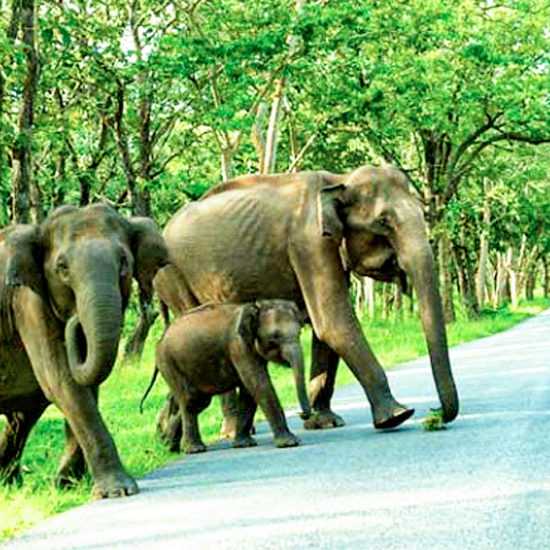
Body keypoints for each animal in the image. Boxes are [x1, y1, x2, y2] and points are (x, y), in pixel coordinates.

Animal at [0, 203, 168, 500]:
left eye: (123, 262)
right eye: (62, 268)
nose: (75, 321)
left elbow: (86, 384)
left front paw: (66, 483)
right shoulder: (28, 304)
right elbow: (61, 381)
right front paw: (117, 491)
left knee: (22, 415)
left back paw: (9, 482)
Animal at [155, 166, 462, 438]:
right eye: (384, 222)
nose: (435, 413)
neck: (339, 180)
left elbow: (322, 330)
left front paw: (325, 422)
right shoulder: (309, 244)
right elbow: (333, 321)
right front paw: (397, 416)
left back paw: (168, 431)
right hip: (174, 278)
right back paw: (227, 432)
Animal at [156, 300, 310, 454]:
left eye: (300, 332)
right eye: (274, 337)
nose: (302, 414)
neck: (255, 307)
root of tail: (161, 338)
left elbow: (249, 391)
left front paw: (244, 444)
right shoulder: (238, 346)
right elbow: (258, 383)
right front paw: (289, 443)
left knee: (200, 402)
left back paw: (169, 445)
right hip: (169, 364)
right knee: (190, 400)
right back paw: (194, 449)